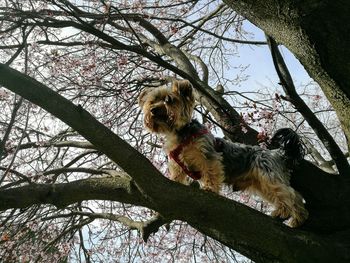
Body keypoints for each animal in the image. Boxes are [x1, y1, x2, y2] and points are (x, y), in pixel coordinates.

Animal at [138, 79, 308, 228]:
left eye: (169, 100)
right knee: (288, 195)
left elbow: (211, 172)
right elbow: (178, 175)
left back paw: (290, 215)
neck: (180, 133)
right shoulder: (177, 163)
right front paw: (176, 181)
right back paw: (290, 216)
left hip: (267, 174)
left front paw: (209, 188)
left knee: (290, 195)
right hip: (262, 184)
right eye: (152, 101)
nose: (153, 110)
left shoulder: (208, 155)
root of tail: (278, 153)